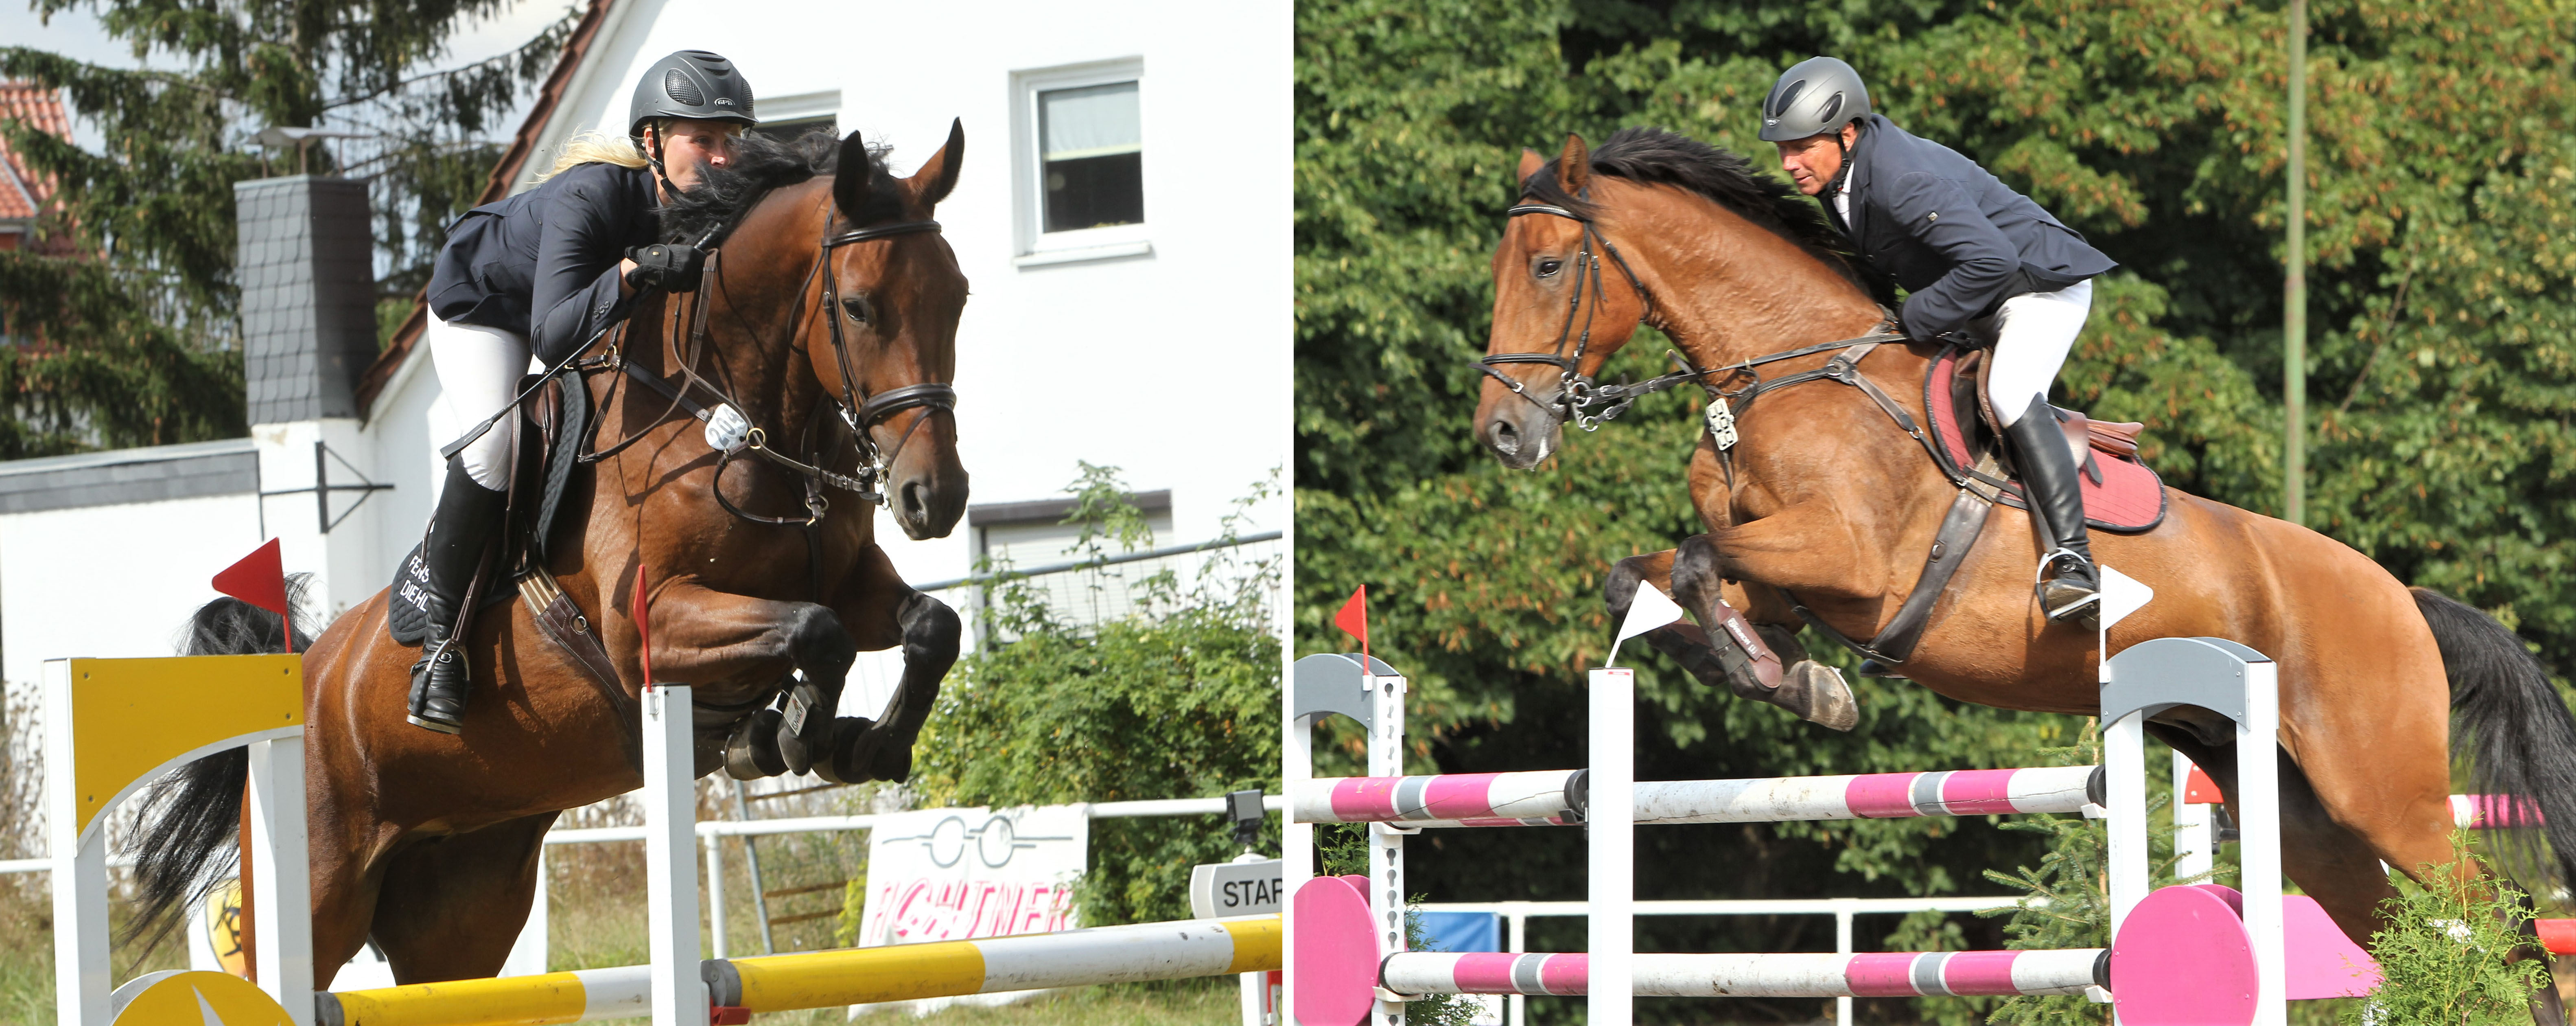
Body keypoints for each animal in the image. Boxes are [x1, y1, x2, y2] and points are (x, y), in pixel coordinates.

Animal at [121, 128, 969, 984]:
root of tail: (308, 676)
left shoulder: (849, 580)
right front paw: (789, 734)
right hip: (316, 898)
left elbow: (930, 625)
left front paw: (867, 742)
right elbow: (817, 632)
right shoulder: (650, 626)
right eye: (859, 307)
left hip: (463, 909)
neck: (732, 426)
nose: (935, 497)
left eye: (958, 297)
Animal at [1484, 128, 2576, 984]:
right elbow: (1652, 577)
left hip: (2383, 793)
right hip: (2304, 813)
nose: (1503, 432)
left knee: (2507, 926)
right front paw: (1794, 678)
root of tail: (2402, 596)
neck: (1791, 372)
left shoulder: (1848, 562)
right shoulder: (1790, 579)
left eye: (1547, 268)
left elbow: (1698, 563)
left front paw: (1778, 678)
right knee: (2406, 937)